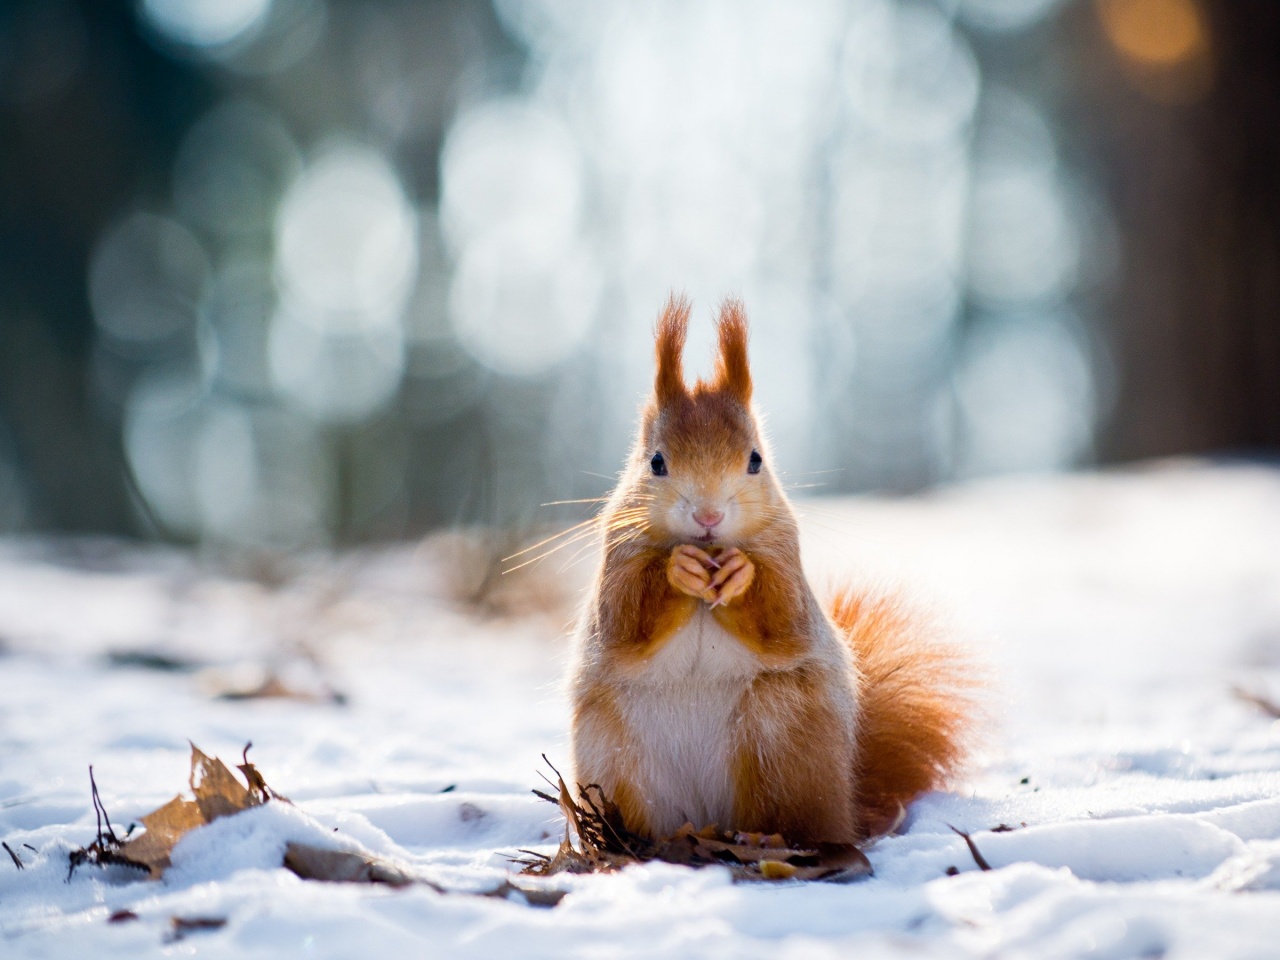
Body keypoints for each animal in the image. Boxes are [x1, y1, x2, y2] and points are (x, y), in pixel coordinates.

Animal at [565, 296, 972, 844]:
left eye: (756, 459)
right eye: (656, 463)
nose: (708, 517)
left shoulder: (786, 558)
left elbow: (781, 617)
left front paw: (741, 574)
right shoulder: (617, 559)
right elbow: (626, 619)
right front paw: (678, 568)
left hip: (780, 735)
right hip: (614, 755)